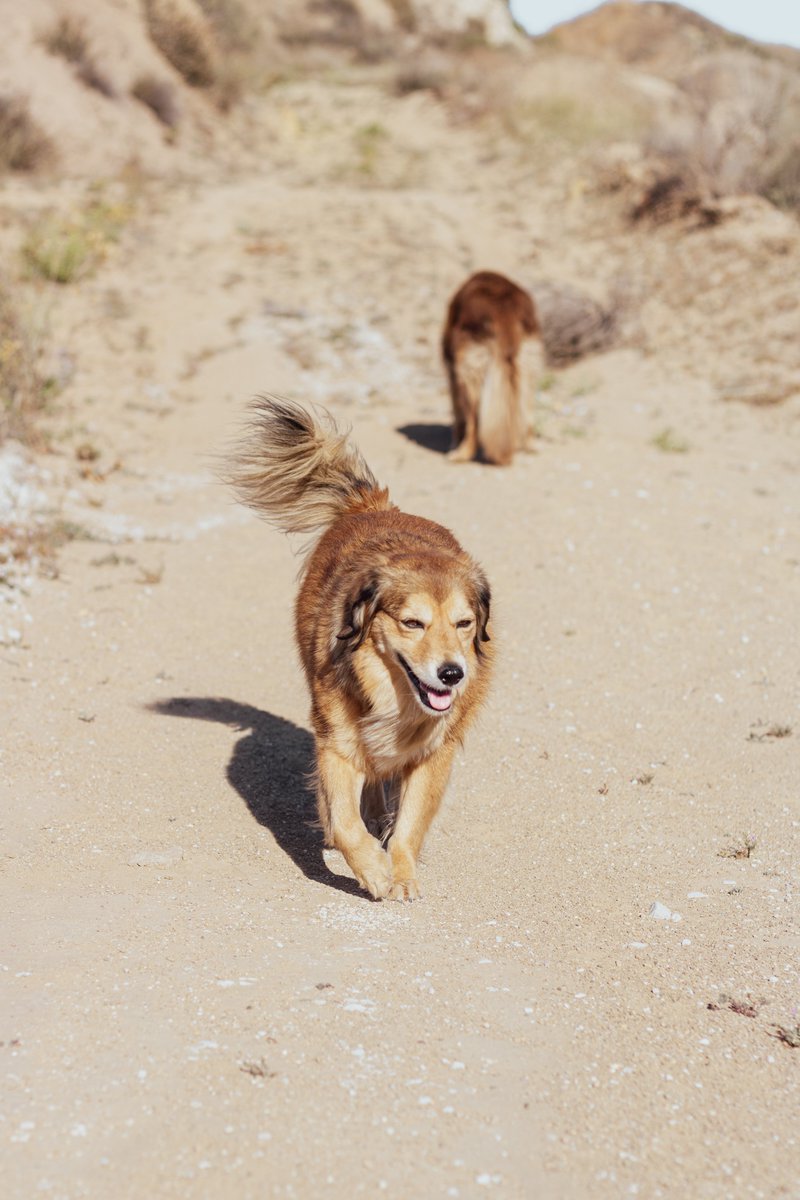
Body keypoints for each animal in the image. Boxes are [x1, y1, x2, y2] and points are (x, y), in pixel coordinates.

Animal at [226, 396, 494, 902]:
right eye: (412, 623)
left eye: (464, 624)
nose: (452, 674)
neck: (396, 699)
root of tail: (375, 506)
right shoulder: (336, 743)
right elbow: (346, 823)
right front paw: (372, 868)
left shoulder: (435, 753)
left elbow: (409, 824)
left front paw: (401, 870)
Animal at [441, 270, 542, 465]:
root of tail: (504, 311)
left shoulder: (453, 375)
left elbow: (458, 416)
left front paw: (454, 442)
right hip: (528, 367)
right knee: (528, 414)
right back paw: (529, 446)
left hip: (469, 374)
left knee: (473, 423)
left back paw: (462, 454)